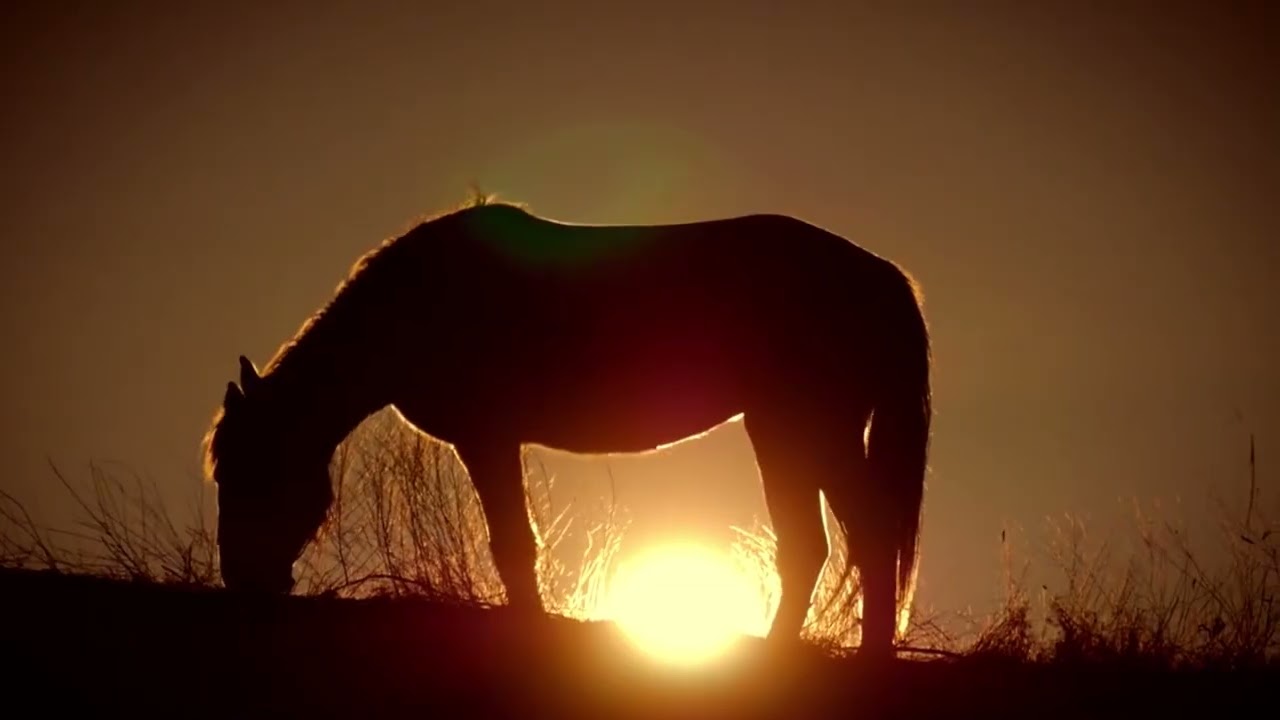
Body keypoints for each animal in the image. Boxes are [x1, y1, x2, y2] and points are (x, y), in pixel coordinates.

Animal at [201, 195, 933, 659]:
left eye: (248, 470)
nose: (243, 581)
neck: (417, 306)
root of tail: (881, 275)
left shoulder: (488, 439)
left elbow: (513, 546)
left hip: (806, 428)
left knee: (859, 535)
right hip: (788, 430)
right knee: (819, 544)